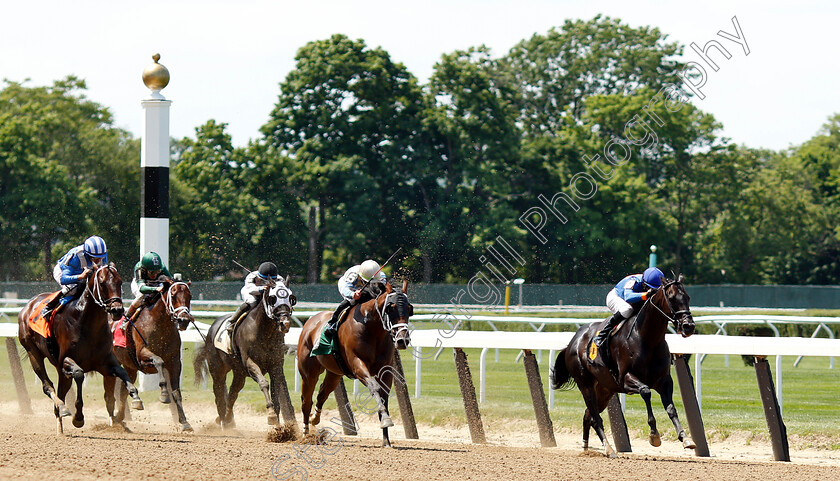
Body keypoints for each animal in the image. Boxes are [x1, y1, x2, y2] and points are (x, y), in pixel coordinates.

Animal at [17, 262, 145, 436]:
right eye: (102, 283)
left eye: (119, 282)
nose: (117, 310)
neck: (87, 324)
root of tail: (27, 306)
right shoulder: (65, 359)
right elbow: (78, 374)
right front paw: (78, 417)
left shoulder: (105, 362)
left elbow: (123, 373)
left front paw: (136, 398)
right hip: (33, 353)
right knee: (48, 385)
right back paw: (62, 408)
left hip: (61, 371)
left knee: (61, 389)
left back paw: (60, 423)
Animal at [105, 278, 195, 432]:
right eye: (173, 295)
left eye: (189, 296)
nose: (183, 320)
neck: (160, 326)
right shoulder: (142, 355)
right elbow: (159, 361)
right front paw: (164, 394)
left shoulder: (175, 363)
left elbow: (176, 392)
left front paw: (184, 422)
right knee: (111, 391)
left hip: (130, 367)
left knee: (123, 391)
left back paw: (122, 415)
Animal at [194, 282, 296, 428]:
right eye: (272, 299)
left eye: (291, 298)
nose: (285, 323)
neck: (264, 332)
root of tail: (210, 330)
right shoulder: (249, 362)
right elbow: (263, 383)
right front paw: (271, 414)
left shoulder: (275, 365)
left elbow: (276, 392)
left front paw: (280, 427)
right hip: (217, 369)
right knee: (219, 393)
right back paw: (223, 421)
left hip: (239, 373)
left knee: (233, 393)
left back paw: (228, 419)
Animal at [296, 278, 412, 446]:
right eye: (391, 307)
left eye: (410, 309)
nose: (403, 340)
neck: (372, 328)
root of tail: (311, 321)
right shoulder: (358, 365)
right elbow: (375, 388)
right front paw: (386, 420)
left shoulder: (386, 369)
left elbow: (383, 396)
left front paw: (386, 439)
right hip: (308, 373)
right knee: (306, 401)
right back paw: (305, 434)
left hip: (334, 373)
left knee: (322, 394)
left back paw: (314, 419)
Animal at [552, 276, 696, 456]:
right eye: (671, 298)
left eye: (687, 297)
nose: (688, 326)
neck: (647, 339)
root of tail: (572, 341)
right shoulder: (626, 379)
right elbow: (646, 392)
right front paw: (654, 435)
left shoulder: (664, 380)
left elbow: (670, 408)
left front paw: (685, 438)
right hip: (585, 385)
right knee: (595, 417)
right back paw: (608, 448)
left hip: (605, 389)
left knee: (588, 415)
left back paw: (586, 447)